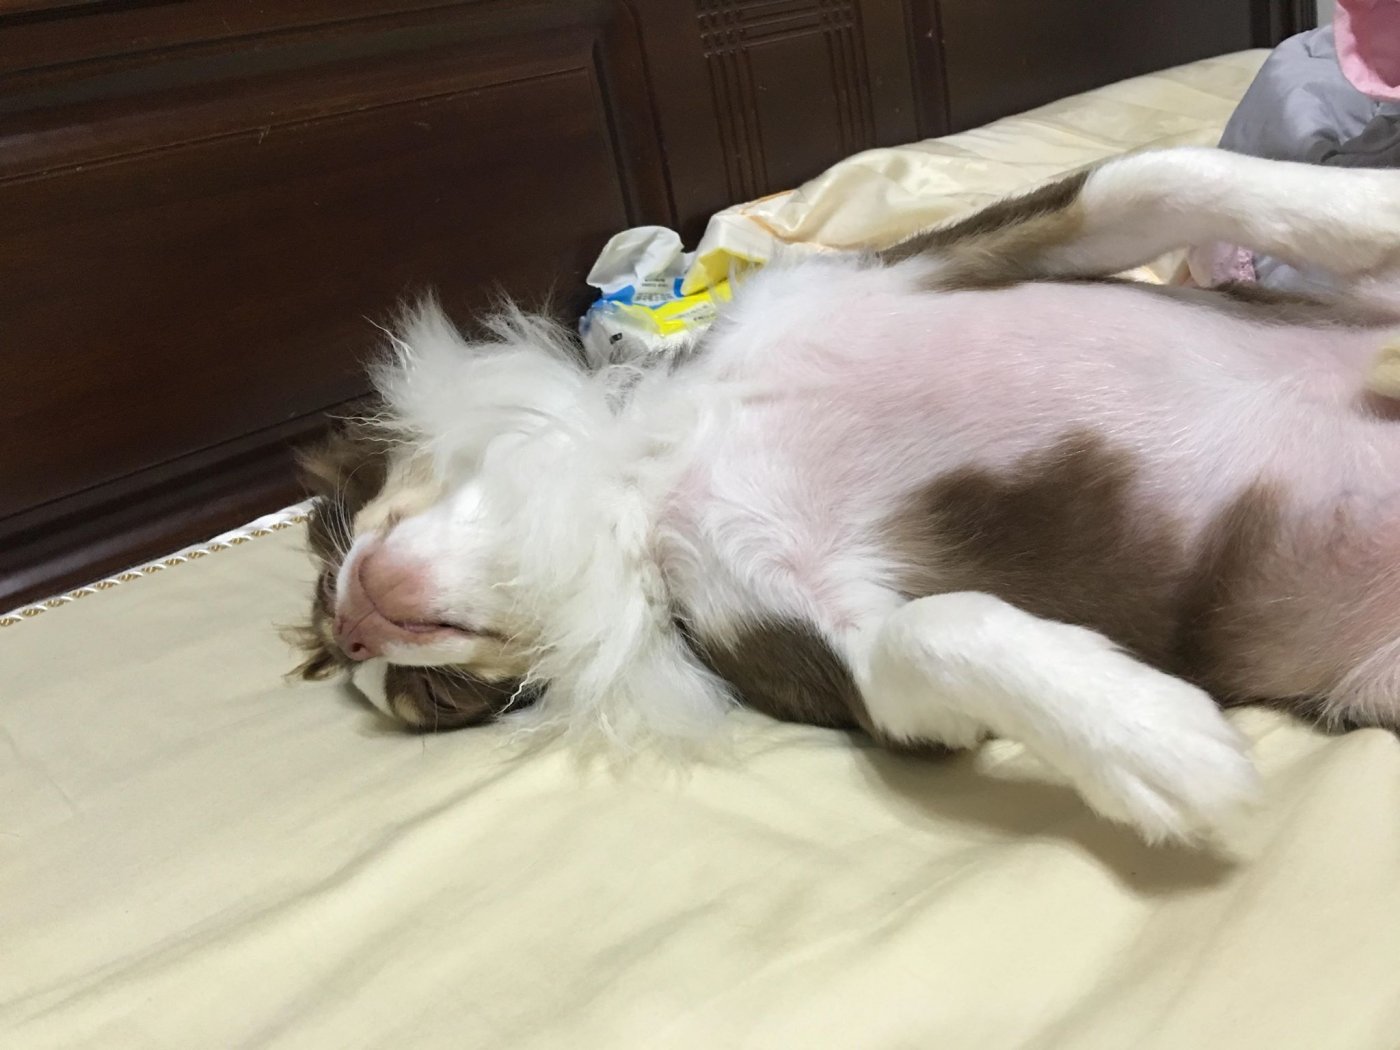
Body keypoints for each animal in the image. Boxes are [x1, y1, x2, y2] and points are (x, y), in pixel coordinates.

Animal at [291, 147, 1400, 844]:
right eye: (438, 701)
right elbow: (937, 631)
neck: (651, 467)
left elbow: (1155, 175)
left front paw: (1382, 200)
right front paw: (1151, 736)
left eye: (338, 533)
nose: (350, 632)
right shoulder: (830, 653)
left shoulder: (931, 261)